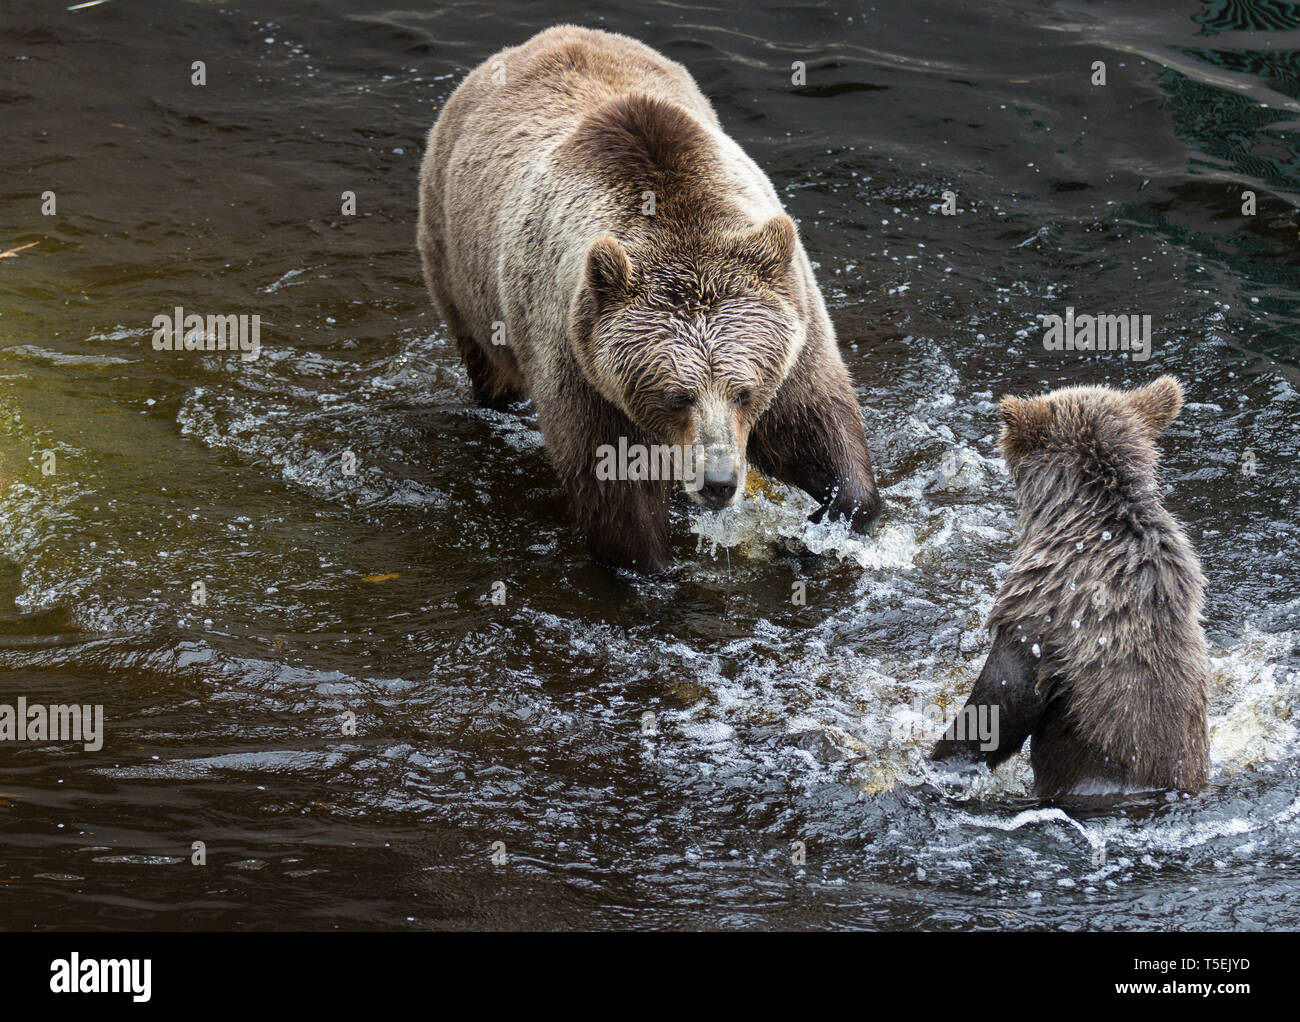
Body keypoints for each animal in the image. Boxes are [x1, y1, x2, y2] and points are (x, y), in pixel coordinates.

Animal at [417, 25, 881, 572]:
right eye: (677, 395)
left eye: (744, 391)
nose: (718, 483)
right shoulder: (580, 363)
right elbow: (615, 488)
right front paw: (652, 567)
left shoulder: (794, 329)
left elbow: (815, 422)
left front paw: (821, 523)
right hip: (458, 269)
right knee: (489, 367)